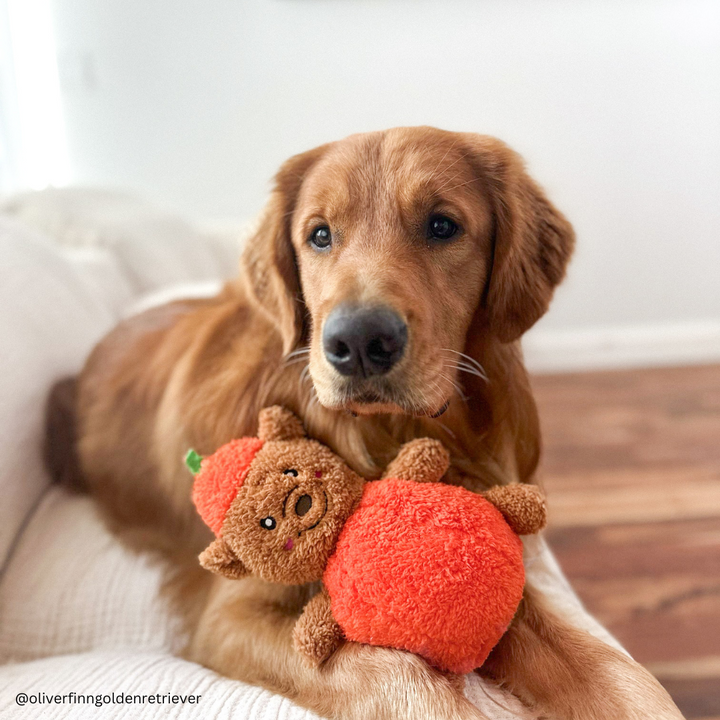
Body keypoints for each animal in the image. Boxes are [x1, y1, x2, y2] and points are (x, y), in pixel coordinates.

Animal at [69, 126, 688, 716]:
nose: (359, 343)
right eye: (320, 235)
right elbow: (397, 672)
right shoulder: (230, 615)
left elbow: (624, 680)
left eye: (442, 226)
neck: (385, 434)